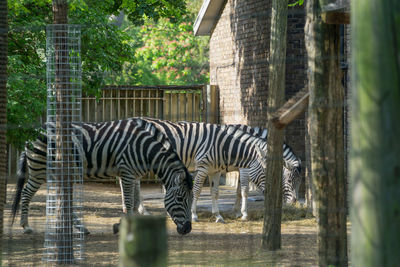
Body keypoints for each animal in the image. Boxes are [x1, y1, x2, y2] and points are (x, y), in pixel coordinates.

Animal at [11, 118, 193, 236]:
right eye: (179, 199)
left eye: (190, 200)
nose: (187, 229)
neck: (145, 149)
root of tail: (34, 129)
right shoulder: (127, 172)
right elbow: (128, 202)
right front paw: (123, 226)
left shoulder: (134, 175)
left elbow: (135, 202)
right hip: (39, 168)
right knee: (26, 193)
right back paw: (26, 226)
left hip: (54, 171)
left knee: (58, 196)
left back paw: (80, 228)